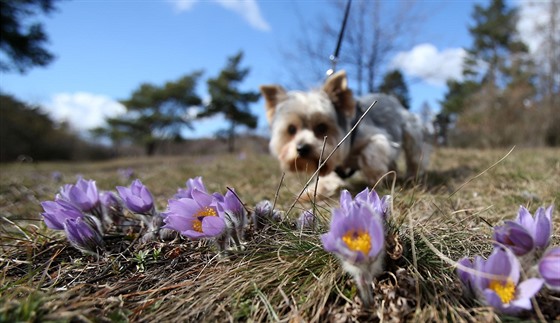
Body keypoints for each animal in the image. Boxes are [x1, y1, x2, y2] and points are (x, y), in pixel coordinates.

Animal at [260, 69, 430, 199]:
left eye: (321, 127)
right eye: (291, 129)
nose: (302, 148)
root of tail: (391, 97)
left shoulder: (378, 137)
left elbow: (372, 152)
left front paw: (374, 176)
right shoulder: (330, 159)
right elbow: (327, 175)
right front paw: (312, 192)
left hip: (411, 129)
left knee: (415, 155)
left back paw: (412, 176)